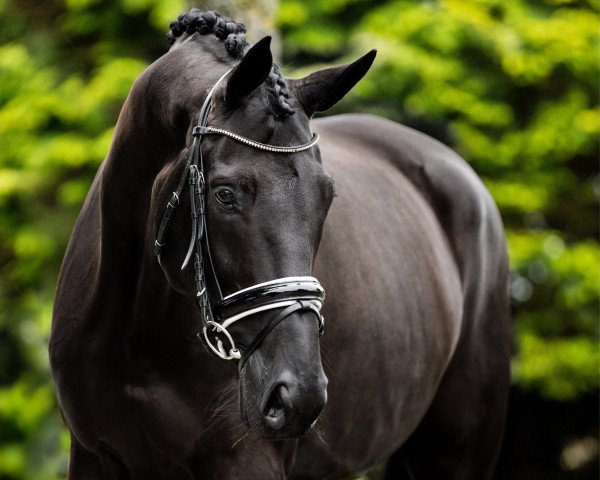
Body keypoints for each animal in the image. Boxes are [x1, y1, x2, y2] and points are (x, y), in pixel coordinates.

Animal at [50, 8, 510, 480]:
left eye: (328, 195)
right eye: (224, 194)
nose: (298, 395)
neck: (139, 331)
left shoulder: (246, 459)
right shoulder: (92, 456)